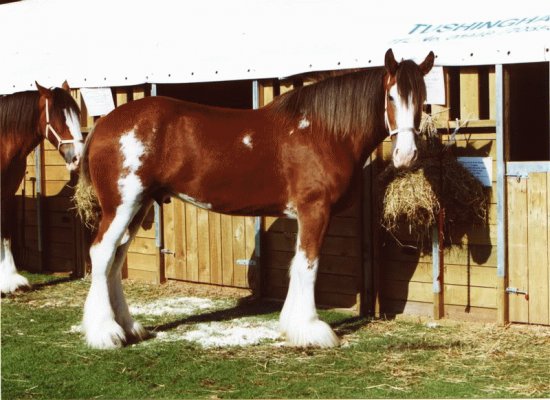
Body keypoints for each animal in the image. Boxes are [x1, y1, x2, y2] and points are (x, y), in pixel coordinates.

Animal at [0, 82, 83, 294]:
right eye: (59, 117)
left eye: (77, 114)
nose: (77, 158)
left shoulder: (7, 193)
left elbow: (5, 233)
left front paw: (10, 281)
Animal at [75, 50, 436, 348]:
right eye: (391, 96)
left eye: (422, 99)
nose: (406, 155)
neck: (322, 131)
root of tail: (104, 125)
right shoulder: (314, 210)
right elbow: (309, 266)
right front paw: (312, 330)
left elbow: (295, 265)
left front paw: (292, 326)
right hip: (122, 205)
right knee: (102, 254)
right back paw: (106, 333)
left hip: (137, 206)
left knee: (115, 259)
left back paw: (129, 328)